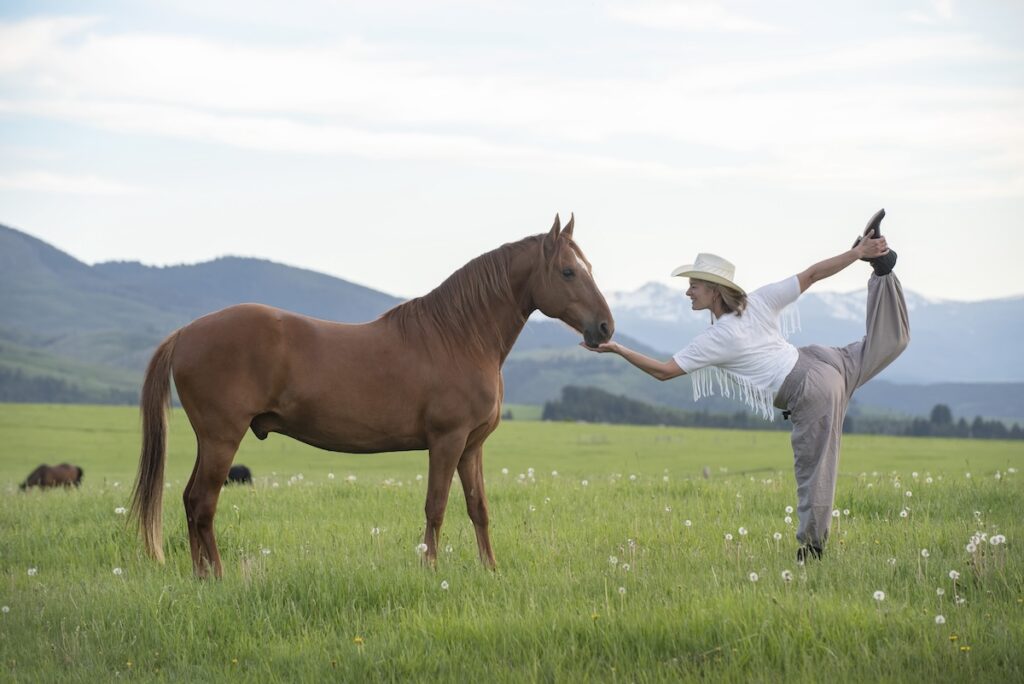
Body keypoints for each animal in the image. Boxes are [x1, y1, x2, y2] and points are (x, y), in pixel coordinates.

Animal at [126, 215, 606, 577]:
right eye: (568, 271)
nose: (605, 327)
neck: (459, 336)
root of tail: (186, 333)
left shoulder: (471, 447)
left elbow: (478, 508)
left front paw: (491, 569)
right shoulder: (446, 441)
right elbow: (436, 507)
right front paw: (430, 570)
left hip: (210, 441)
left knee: (190, 501)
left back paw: (201, 577)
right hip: (223, 438)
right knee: (203, 503)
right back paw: (219, 577)